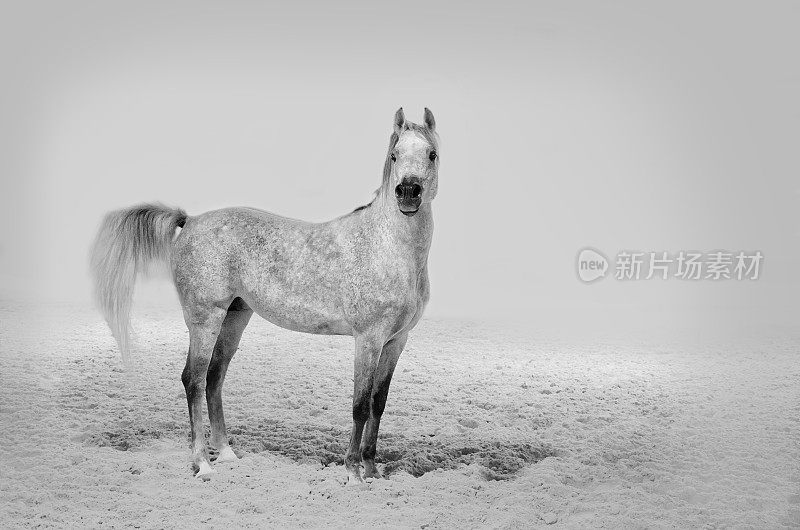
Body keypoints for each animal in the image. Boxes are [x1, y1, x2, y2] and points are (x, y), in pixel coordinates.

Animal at [91, 107, 440, 478]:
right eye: (395, 155)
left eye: (431, 154)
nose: (408, 192)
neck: (385, 248)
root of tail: (191, 220)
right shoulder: (368, 339)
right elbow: (360, 405)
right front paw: (352, 472)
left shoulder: (395, 341)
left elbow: (378, 402)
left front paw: (373, 470)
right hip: (205, 319)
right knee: (193, 380)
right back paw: (202, 463)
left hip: (234, 318)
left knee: (214, 378)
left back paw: (226, 452)